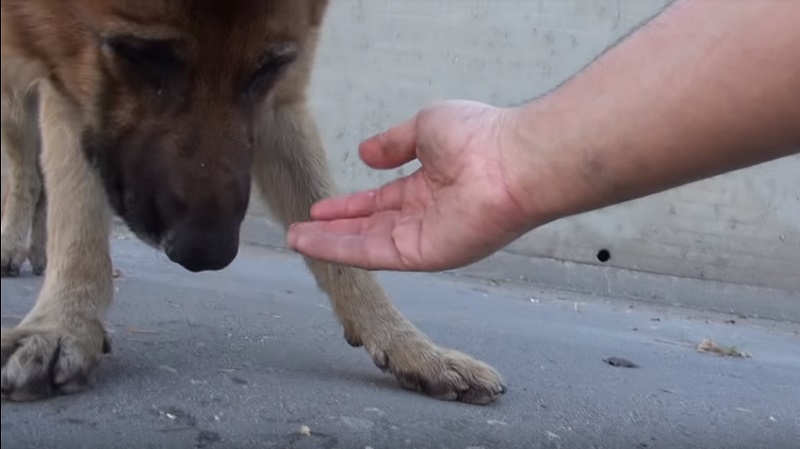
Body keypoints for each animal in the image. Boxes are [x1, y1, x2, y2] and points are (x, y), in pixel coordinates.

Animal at [1, 0, 506, 404]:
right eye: (143, 56)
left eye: (266, 70)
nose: (205, 253)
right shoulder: (73, 81)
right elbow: (77, 211)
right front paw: (63, 325)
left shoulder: (282, 98)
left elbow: (335, 241)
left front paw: (412, 347)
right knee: (27, 177)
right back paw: (12, 248)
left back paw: (38, 255)